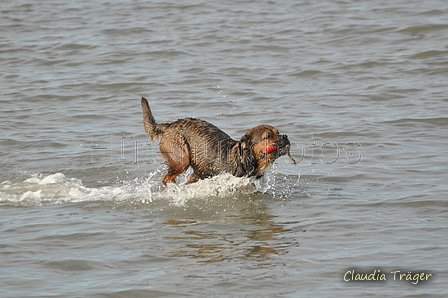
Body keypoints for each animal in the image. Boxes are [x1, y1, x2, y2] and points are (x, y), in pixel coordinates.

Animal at [142, 97, 296, 184]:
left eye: (278, 133)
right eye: (268, 137)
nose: (285, 136)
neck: (244, 160)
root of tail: (170, 125)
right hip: (181, 160)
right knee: (166, 178)